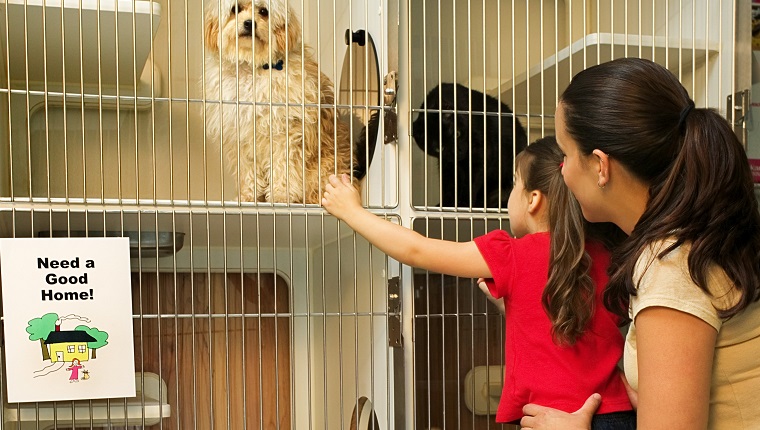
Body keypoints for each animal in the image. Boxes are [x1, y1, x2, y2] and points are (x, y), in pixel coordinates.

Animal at [202, 0, 356, 203]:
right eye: (235, 9)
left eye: (263, 11)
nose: (249, 23)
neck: (254, 68)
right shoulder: (240, 135)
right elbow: (247, 171)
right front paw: (248, 196)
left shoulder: (287, 132)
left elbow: (284, 167)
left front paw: (281, 195)